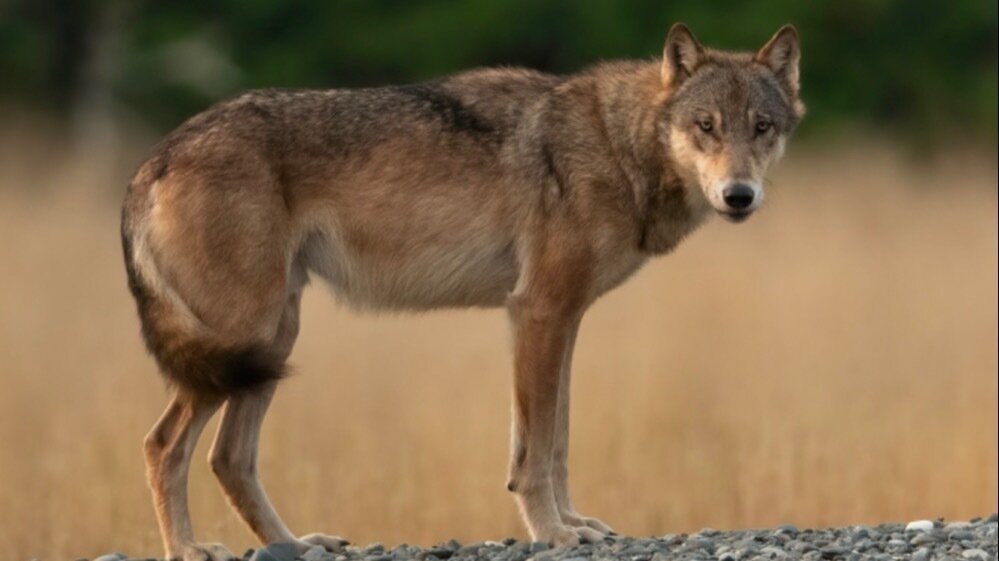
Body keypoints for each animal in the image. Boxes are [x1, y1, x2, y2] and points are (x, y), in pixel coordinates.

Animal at [121, 23, 804, 560]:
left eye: (762, 128)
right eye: (706, 127)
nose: (739, 196)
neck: (615, 144)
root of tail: (153, 158)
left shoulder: (563, 319)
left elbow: (556, 441)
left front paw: (574, 523)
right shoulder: (538, 312)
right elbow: (535, 452)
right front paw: (553, 534)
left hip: (268, 350)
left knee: (227, 458)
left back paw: (296, 544)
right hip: (245, 345)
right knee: (162, 445)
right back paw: (186, 549)